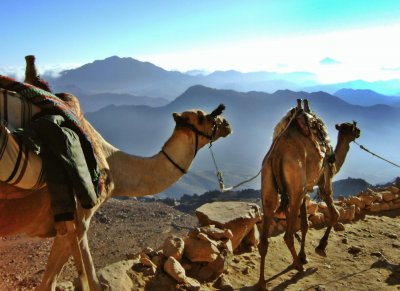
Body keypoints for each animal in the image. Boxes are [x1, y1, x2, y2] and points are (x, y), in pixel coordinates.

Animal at [0, 89, 233, 291]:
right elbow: (71, 281)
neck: (111, 166)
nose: (227, 124)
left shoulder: (70, 227)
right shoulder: (77, 222)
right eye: (203, 118)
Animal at [258, 101, 360, 290]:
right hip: (295, 185)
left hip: (269, 183)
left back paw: (262, 283)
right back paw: (298, 266)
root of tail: (276, 155)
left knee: (265, 236)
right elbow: (335, 213)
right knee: (287, 235)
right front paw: (320, 248)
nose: (359, 132)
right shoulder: (325, 179)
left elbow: (305, 224)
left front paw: (304, 255)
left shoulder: (305, 190)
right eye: (351, 127)